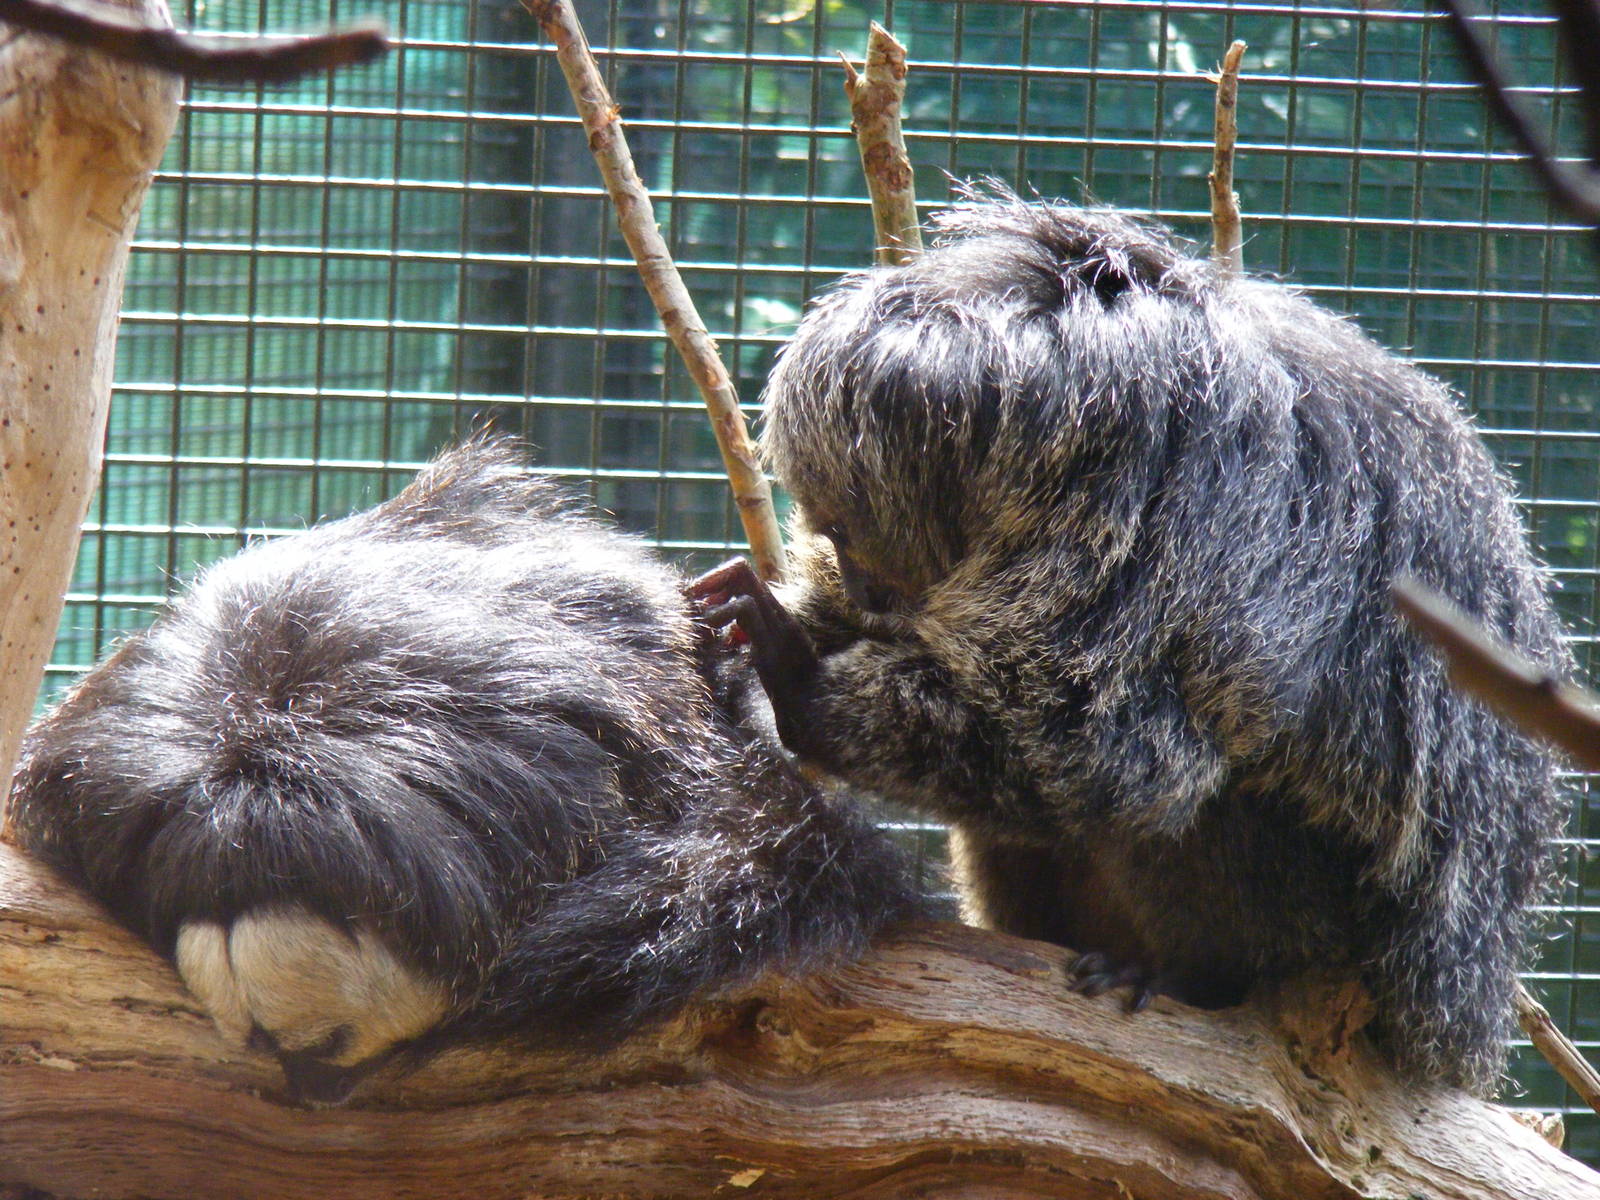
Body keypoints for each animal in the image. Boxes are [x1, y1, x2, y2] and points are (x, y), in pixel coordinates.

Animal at [691, 189, 1572, 1096]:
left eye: (845, 528)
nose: (867, 589)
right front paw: (768, 621)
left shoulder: (1165, 486)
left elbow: (1109, 753)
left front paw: (793, 680)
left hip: (1324, 927)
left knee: (1212, 777)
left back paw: (1192, 975)